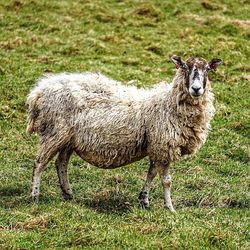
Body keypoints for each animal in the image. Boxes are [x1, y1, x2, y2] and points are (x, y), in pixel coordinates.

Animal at [26, 55, 223, 211]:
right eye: (185, 67)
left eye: (207, 69)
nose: (196, 89)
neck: (168, 103)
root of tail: (38, 92)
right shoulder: (163, 145)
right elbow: (166, 180)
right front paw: (170, 208)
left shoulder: (156, 146)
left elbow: (151, 173)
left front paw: (144, 200)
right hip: (55, 132)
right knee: (39, 163)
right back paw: (34, 196)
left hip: (68, 138)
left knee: (61, 163)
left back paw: (68, 194)